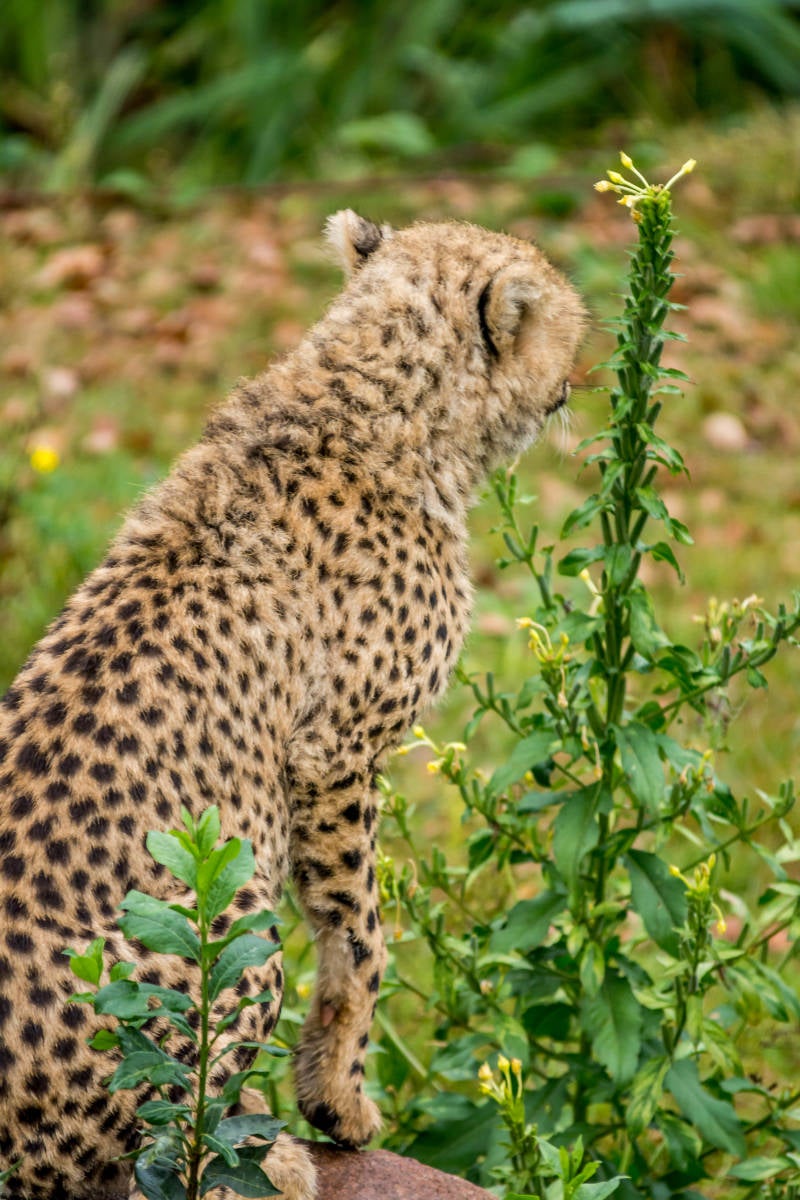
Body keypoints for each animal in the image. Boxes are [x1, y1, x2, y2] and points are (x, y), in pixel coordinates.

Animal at [0, 209, 585, 1199]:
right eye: (566, 326)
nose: (581, 377)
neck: (361, 401)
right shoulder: (335, 752)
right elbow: (362, 936)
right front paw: (337, 1101)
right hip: (229, 940)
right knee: (156, 1148)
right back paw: (262, 1156)